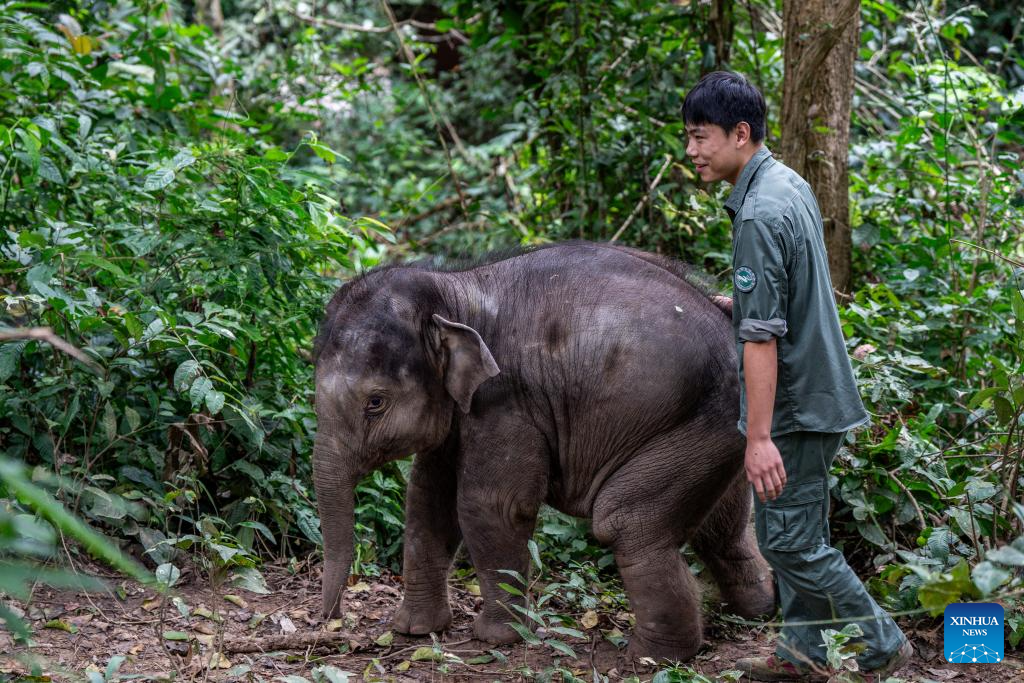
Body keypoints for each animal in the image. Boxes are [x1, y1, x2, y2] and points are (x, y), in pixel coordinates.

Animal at [311, 241, 774, 663]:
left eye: (375, 403)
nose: (330, 623)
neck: (455, 289)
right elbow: (427, 501)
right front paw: (415, 630)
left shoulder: (507, 401)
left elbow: (490, 505)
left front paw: (498, 638)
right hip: (718, 432)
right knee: (723, 528)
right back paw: (757, 612)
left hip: (702, 421)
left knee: (627, 522)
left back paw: (651, 658)